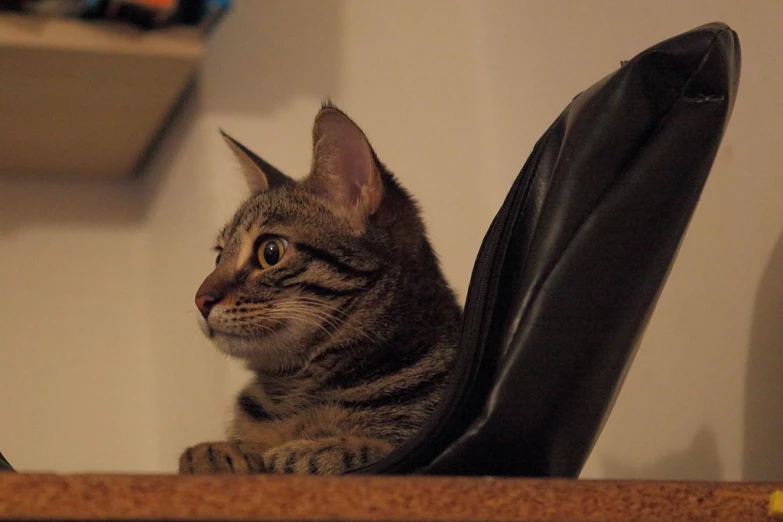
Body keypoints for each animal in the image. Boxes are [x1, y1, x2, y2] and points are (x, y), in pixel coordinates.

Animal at [181, 101, 462, 472]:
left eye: (270, 251)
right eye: (218, 256)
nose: (199, 300)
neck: (291, 391)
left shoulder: (407, 440)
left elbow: (353, 449)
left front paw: (295, 452)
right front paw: (216, 452)